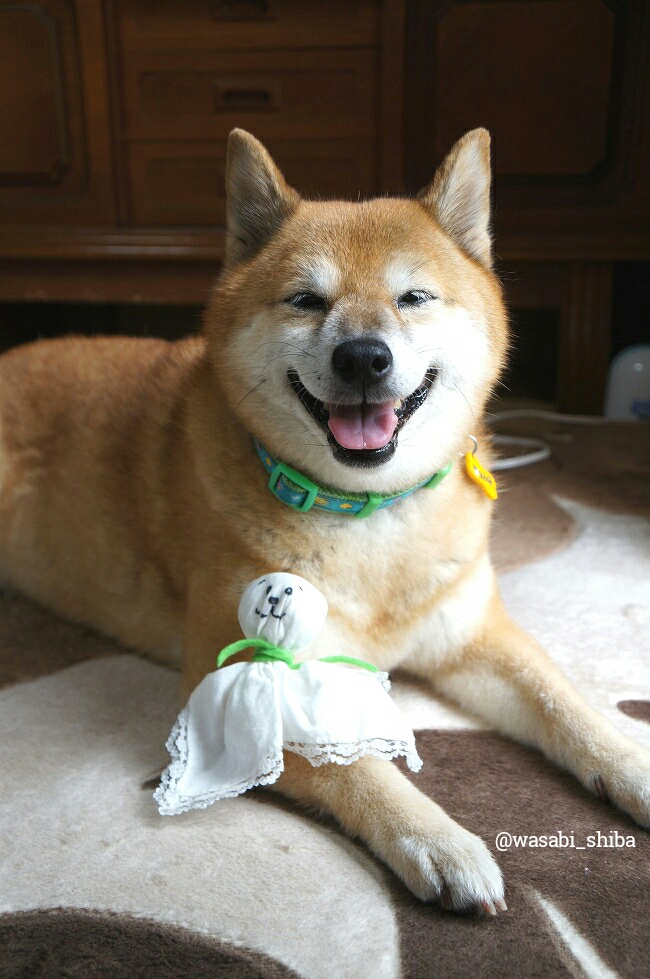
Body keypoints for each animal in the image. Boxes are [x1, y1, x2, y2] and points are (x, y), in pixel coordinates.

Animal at [0, 128, 648, 915]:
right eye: (307, 300)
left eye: (413, 296)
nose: (364, 357)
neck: (368, 516)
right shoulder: (236, 689)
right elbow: (357, 763)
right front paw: (438, 838)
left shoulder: (472, 636)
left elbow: (565, 703)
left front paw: (631, 763)